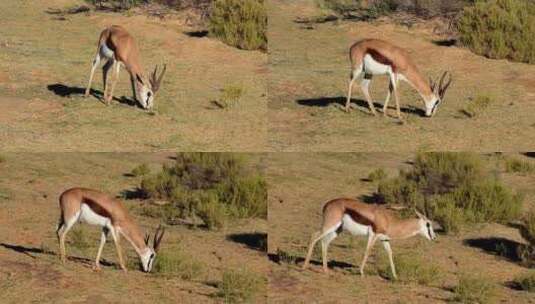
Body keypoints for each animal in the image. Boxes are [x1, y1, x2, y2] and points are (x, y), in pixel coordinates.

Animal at [304, 198, 438, 280]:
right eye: (428, 224)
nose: (434, 237)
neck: (389, 221)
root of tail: (327, 204)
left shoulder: (384, 240)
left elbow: (390, 254)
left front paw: (395, 276)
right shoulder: (373, 235)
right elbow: (367, 251)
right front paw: (361, 272)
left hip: (337, 229)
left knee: (324, 242)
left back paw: (325, 270)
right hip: (330, 225)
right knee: (314, 236)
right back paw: (304, 267)